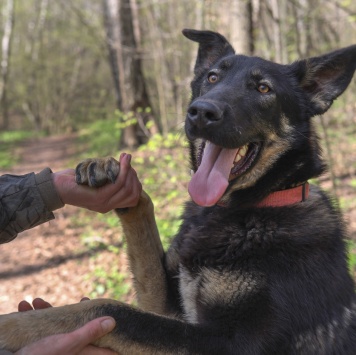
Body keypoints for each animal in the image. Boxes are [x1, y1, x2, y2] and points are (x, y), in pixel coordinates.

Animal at [0, 29, 356, 354]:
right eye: (212, 77)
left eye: (263, 88)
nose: (201, 112)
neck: (247, 208)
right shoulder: (170, 304)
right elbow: (143, 240)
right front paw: (109, 170)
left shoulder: (228, 343)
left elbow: (109, 309)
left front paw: (12, 326)